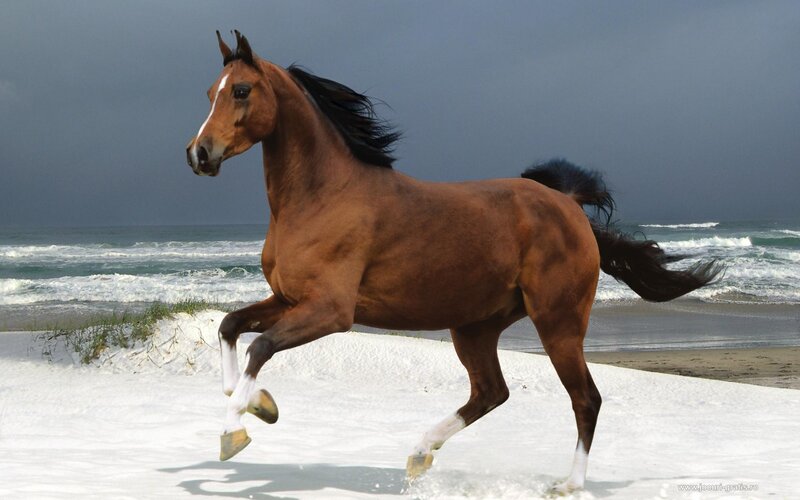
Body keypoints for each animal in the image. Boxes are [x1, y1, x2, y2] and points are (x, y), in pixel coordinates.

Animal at [185, 31, 720, 493]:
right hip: (475, 326)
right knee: (492, 392)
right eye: (211, 92)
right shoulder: (288, 298)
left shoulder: (331, 312)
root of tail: (567, 204)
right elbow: (231, 327)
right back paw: (420, 454)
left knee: (585, 399)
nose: (199, 153)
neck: (321, 196)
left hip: (558, 322)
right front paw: (259, 405)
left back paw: (568, 485)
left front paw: (235, 432)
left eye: (241, 90)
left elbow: (260, 347)